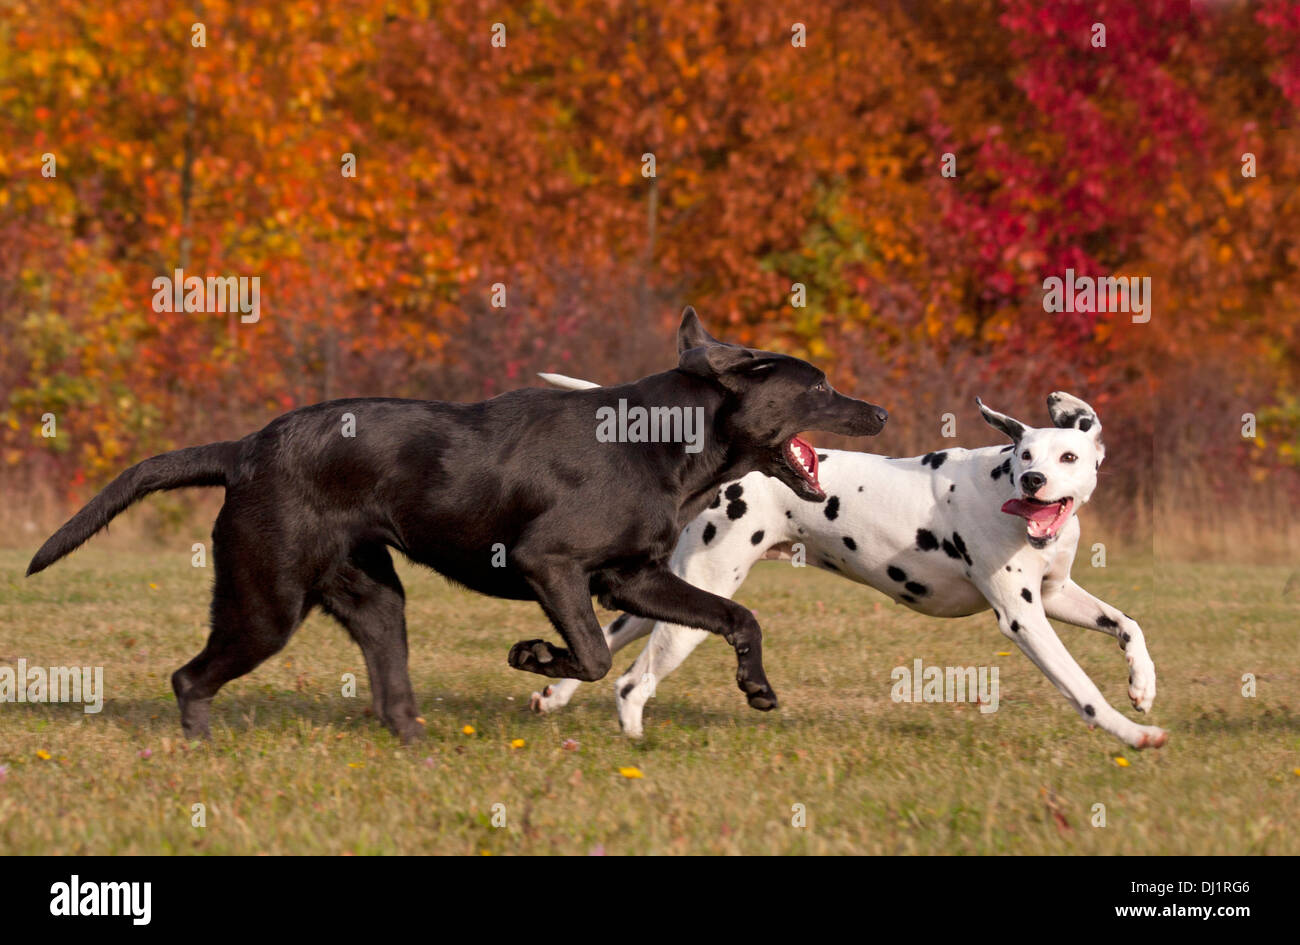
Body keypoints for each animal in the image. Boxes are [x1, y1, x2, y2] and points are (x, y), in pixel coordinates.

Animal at [30, 308, 889, 738]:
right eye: (821, 386)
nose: (880, 411)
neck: (663, 439)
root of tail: (243, 449)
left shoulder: (634, 577)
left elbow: (737, 617)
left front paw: (757, 686)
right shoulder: (551, 563)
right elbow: (591, 655)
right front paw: (533, 655)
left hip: (375, 600)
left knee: (390, 696)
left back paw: (420, 747)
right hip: (265, 602)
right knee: (190, 676)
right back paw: (203, 747)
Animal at [533, 374, 1164, 748]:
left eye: (1067, 456)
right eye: (1025, 454)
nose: (1033, 481)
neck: (998, 485)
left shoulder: (1055, 597)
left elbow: (1129, 624)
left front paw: (1142, 686)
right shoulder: (1024, 619)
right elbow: (1082, 688)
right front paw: (1132, 731)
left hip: (680, 592)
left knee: (612, 635)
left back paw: (553, 696)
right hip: (699, 601)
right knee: (631, 683)